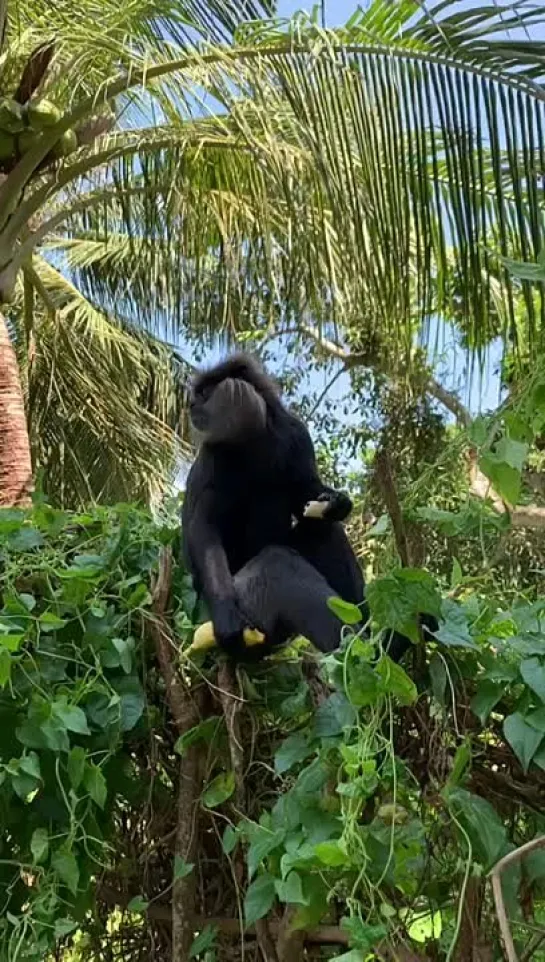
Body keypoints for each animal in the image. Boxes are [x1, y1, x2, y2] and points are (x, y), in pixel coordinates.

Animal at [181, 352, 414, 660]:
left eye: (204, 393)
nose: (191, 404)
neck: (253, 440)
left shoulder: (295, 435)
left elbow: (306, 492)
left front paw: (338, 502)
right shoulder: (214, 453)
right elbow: (204, 527)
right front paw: (226, 618)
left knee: (324, 530)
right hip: (254, 610)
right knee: (278, 565)